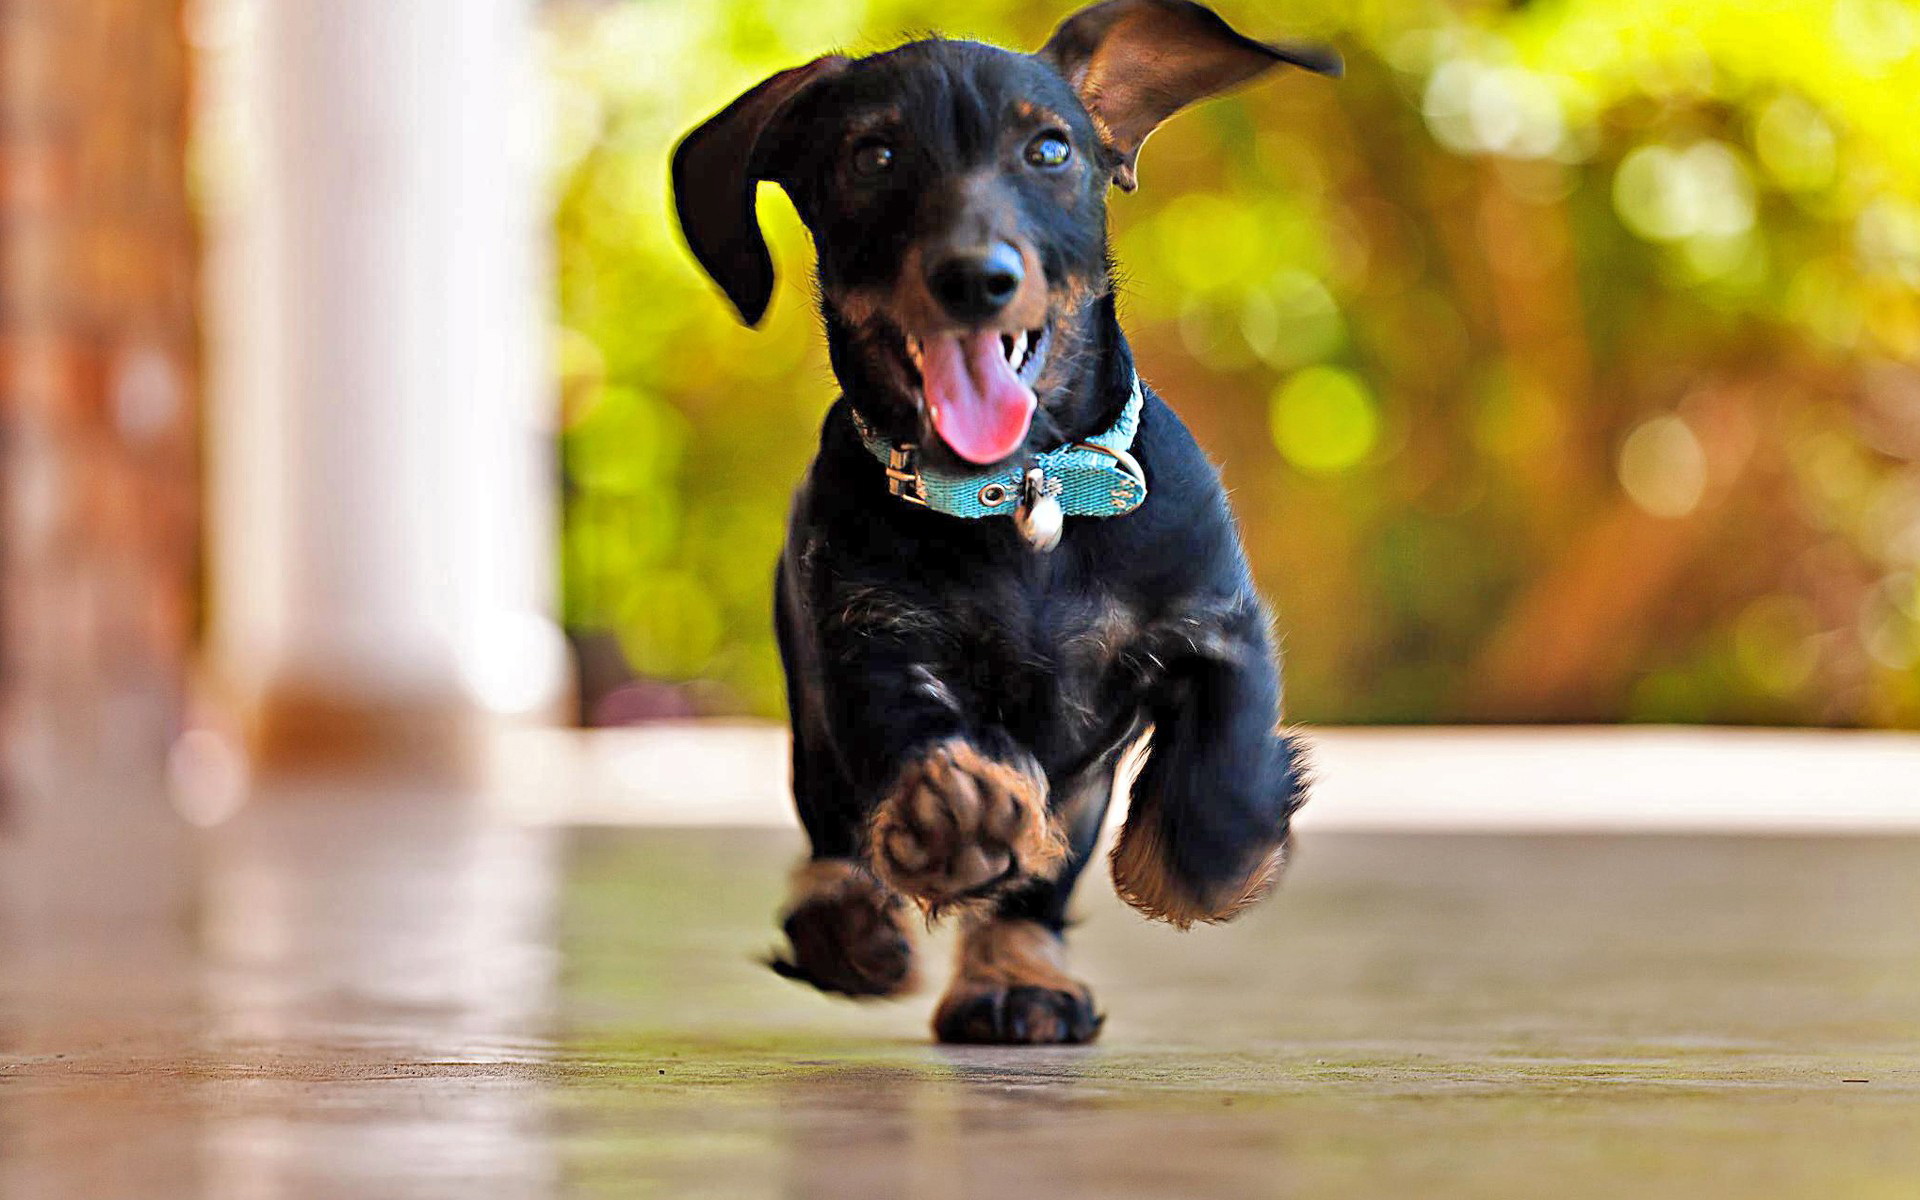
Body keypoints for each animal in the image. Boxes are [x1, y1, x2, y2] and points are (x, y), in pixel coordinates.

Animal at [683, 0, 1344, 1036]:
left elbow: (1228, 751)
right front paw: (950, 819)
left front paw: (1206, 857)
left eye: (1050, 149)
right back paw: (848, 924)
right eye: (872, 156)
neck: (1022, 498)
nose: (973, 277)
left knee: (1037, 889)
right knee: (833, 828)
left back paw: (1020, 978)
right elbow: (912, 730)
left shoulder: (1217, 619)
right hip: (813, 726)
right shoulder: (868, 637)